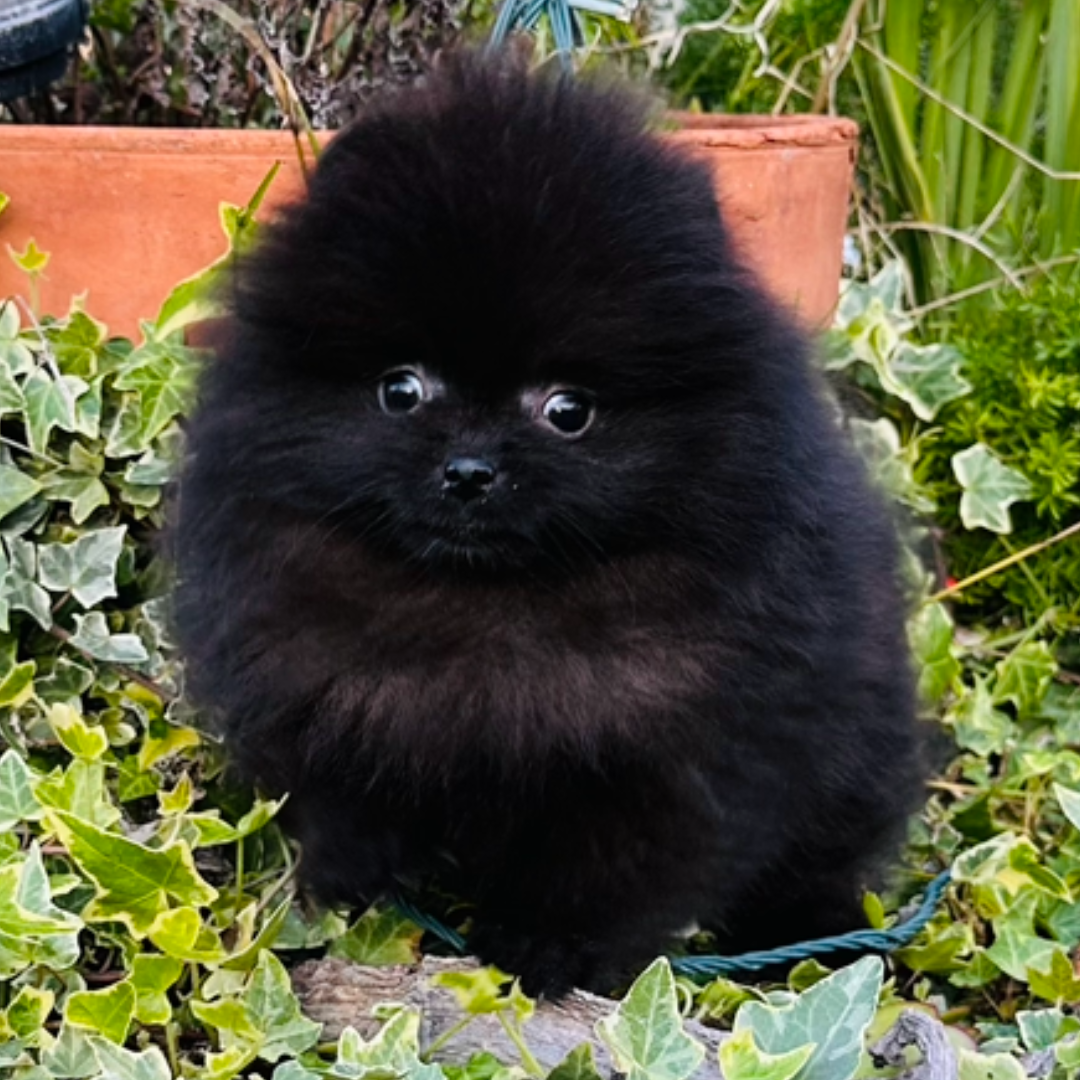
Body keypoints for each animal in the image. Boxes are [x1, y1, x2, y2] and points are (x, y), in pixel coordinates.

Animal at [174, 48, 920, 993]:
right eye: (401, 390)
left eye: (568, 411)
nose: (469, 471)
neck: (485, 614)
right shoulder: (324, 689)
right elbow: (346, 802)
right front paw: (358, 877)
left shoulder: (670, 751)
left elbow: (604, 870)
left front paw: (546, 948)